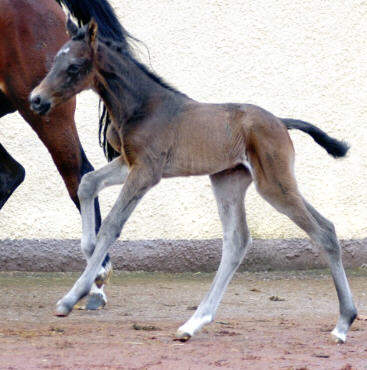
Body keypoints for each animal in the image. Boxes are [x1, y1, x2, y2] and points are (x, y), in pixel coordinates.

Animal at [30, 10, 358, 344]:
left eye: (74, 66)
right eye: (54, 62)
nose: (36, 100)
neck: (143, 106)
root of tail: (280, 121)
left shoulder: (147, 171)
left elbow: (111, 225)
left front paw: (72, 297)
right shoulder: (129, 163)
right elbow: (87, 183)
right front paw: (91, 263)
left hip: (273, 184)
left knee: (322, 232)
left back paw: (343, 324)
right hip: (230, 181)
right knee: (240, 240)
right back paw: (194, 323)